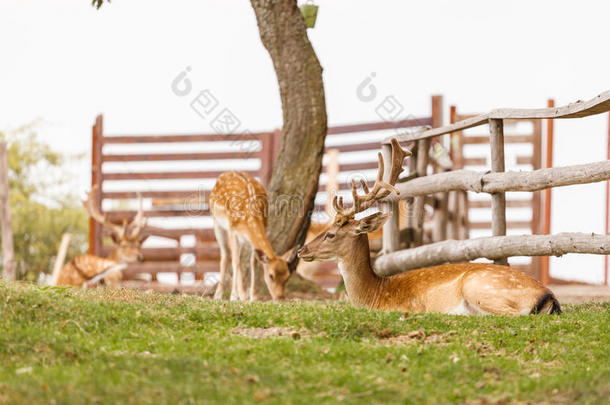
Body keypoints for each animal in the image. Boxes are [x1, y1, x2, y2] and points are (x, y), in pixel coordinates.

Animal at [209, 170, 300, 300]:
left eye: (287, 276)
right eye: (271, 275)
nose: (279, 297)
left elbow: (253, 262)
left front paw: (253, 296)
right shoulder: (232, 230)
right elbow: (235, 261)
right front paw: (236, 296)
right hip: (217, 223)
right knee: (225, 255)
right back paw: (219, 295)